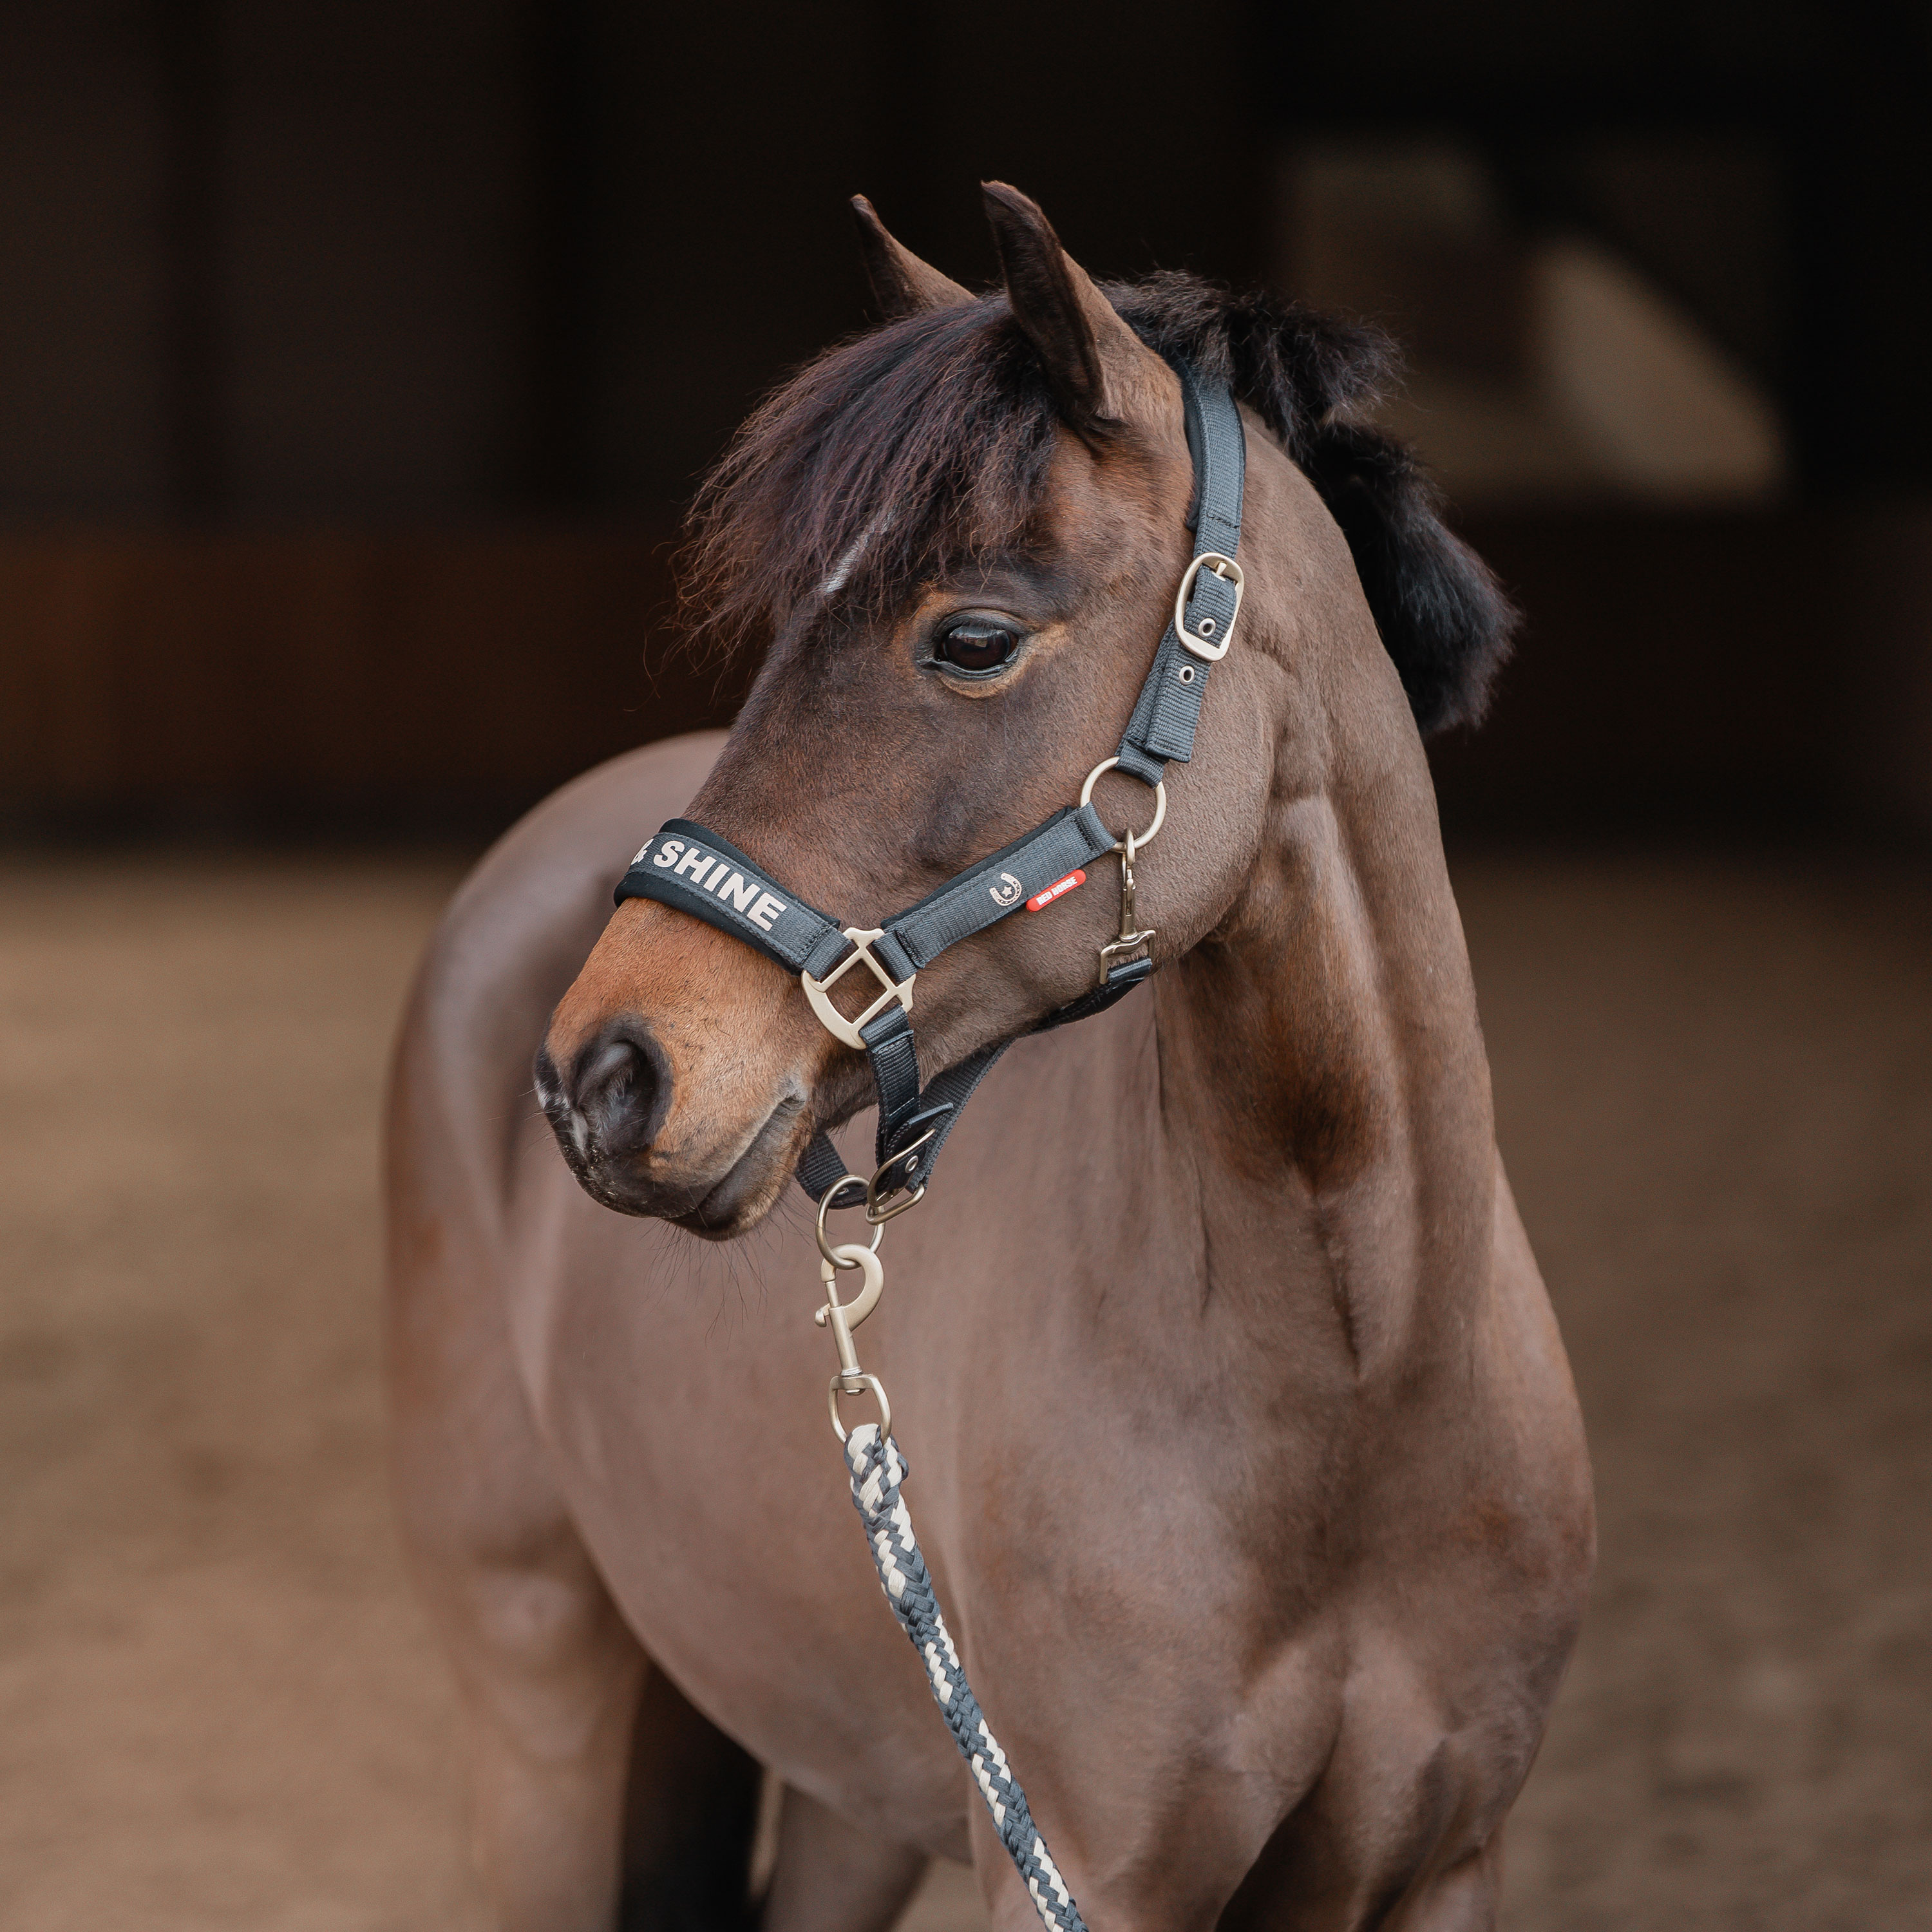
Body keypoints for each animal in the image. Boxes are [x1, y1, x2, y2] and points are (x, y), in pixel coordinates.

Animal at [385, 183, 1594, 1932]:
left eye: (969, 637)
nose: (605, 1075)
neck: (1358, 1390)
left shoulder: (1438, 1864)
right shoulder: (1080, 1868)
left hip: (855, 1777)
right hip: (536, 1694)